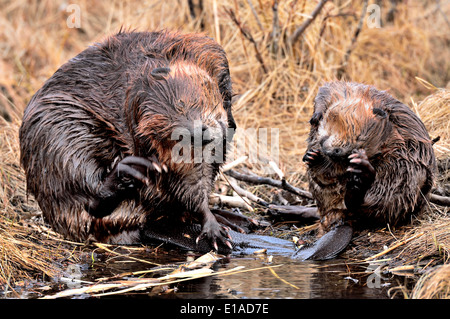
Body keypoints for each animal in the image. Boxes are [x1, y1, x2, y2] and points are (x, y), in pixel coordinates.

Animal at [19, 30, 239, 251]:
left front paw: (214, 227)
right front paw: (215, 230)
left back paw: (233, 220)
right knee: (87, 196)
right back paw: (130, 170)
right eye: (178, 108)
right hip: (61, 132)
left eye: (186, 102)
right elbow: (183, 177)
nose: (197, 134)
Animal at [302, 82, 436, 242]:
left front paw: (358, 164)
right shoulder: (347, 90)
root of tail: (342, 220)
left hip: (404, 179)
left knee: (380, 201)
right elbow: (324, 93)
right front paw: (316, 117)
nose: (334, 152)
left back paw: (360, 177)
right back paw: (314, 159)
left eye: (359, 140)